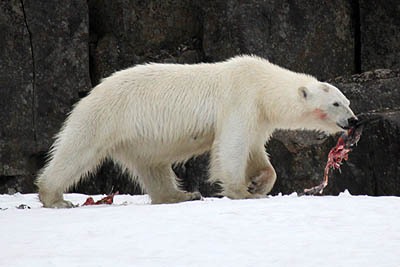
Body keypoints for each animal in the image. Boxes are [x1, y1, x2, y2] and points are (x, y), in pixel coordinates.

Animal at [36, 55, 356, 208]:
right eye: (336, 103)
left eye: (348, 102)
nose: (353, 121)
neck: (263, 85)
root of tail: (91, 93)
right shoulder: (240, 99)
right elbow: (231, 147)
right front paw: (243, 191)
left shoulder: (259, 117)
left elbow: (255, 150)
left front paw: (259, 183)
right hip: (106, 116)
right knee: (77, 150)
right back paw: (55, 197)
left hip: (137, 138)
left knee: (153, 166)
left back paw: (181, 195)